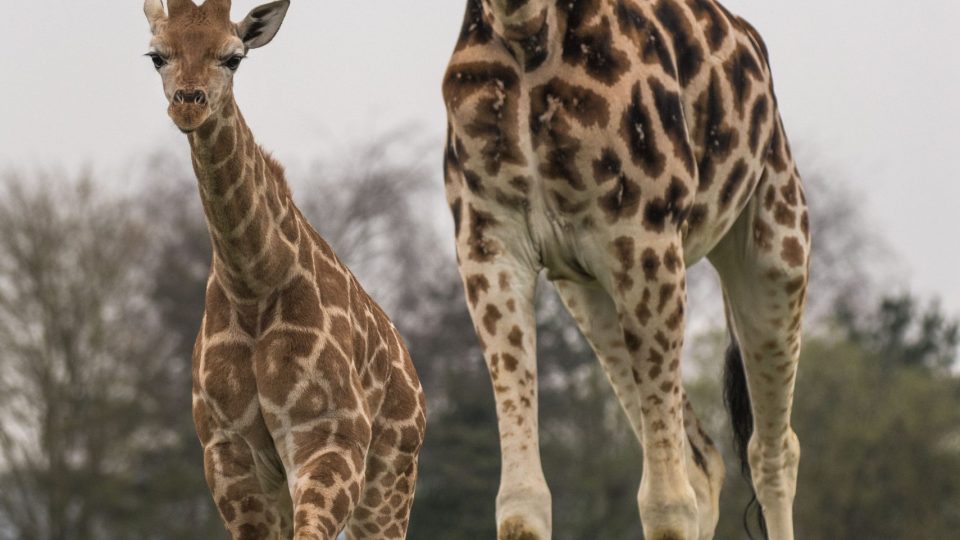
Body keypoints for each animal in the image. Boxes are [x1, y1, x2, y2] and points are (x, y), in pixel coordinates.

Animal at [142, 1, 426, 538]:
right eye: (157, 56)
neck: (254, 286)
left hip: (391, 478)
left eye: (233, 58)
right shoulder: (228, 454)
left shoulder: (329, 437)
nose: (189, 104)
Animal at [442, 1, 809, 539]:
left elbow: (665, 503)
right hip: (592, 295)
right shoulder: (488, 244)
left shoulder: (644, 235)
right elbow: (520, 502)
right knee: (704, 463)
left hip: (778, 249)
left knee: (771, 453)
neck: (525, 30)